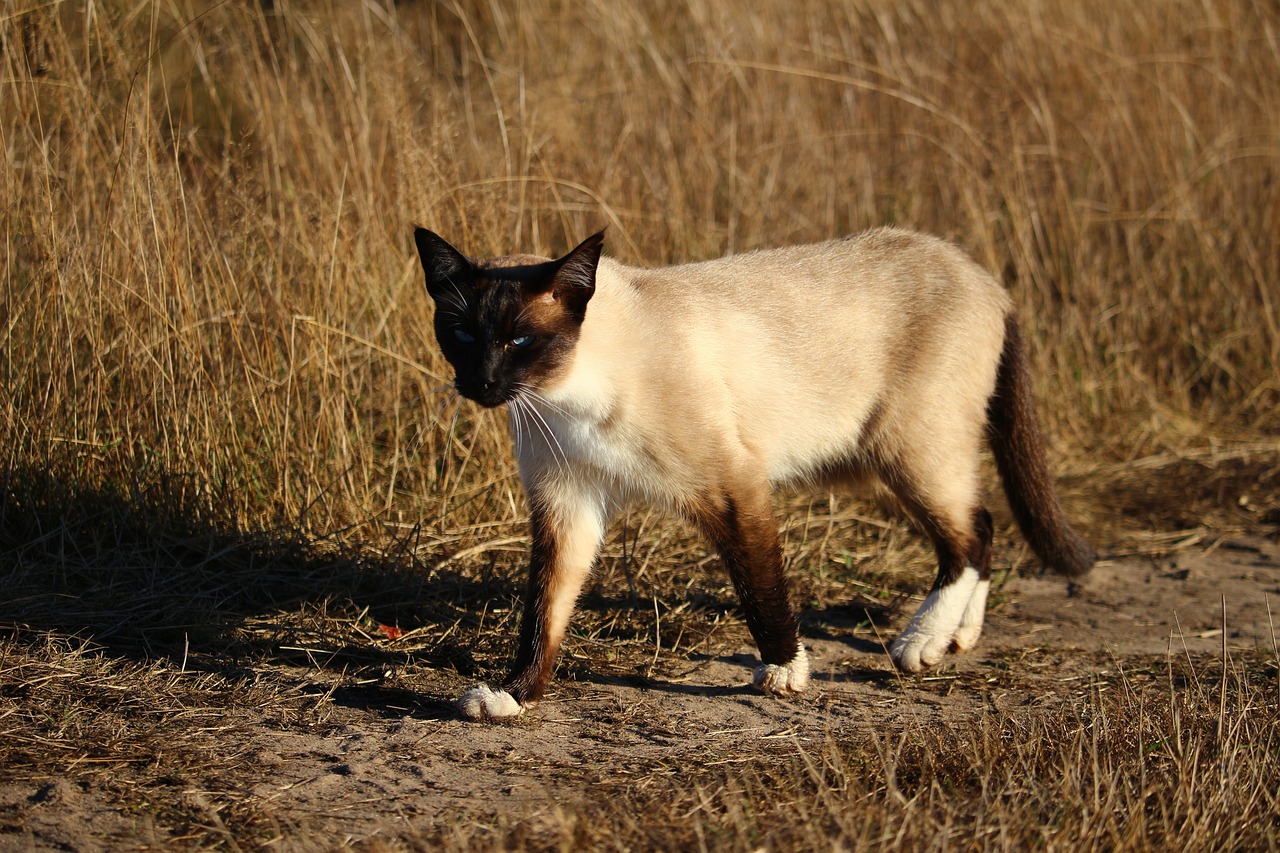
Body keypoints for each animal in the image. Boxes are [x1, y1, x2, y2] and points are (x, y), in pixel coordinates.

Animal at [414, 224, 1095, 717]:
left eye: (520, 341)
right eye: (462, 335)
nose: (482, 383)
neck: (563, 398)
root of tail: (982, 275)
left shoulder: (732, 486)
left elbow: (760, 587)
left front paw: (785, 672)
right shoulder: (568, 506)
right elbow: (544, 612)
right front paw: (514, 696)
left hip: (906, 452)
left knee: (970, 534)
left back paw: (919, 644)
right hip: (880, 467)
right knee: (982, 525)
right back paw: (956, 639)